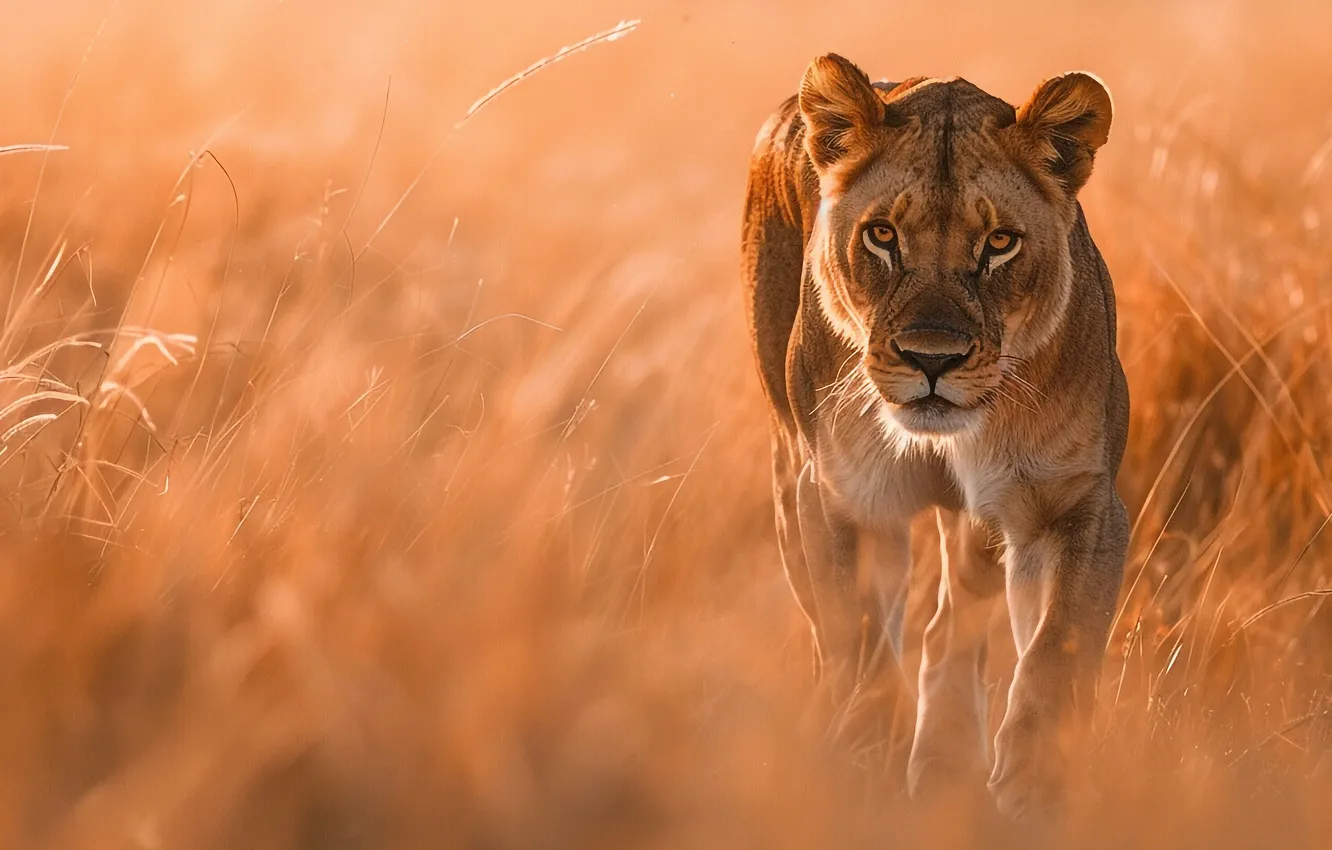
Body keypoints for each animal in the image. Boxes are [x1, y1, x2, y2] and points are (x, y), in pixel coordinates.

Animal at [740, 54, 1128, 817]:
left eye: (1000, 243)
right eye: (883, 236)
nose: (932, 360)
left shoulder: (1079, 503)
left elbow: (1057, 650)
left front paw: (1031, 786)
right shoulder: (842, 500)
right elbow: (861, 647)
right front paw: (865, 771)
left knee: (950, 629)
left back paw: (947, 757)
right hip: (789, 478)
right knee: (841, 637)